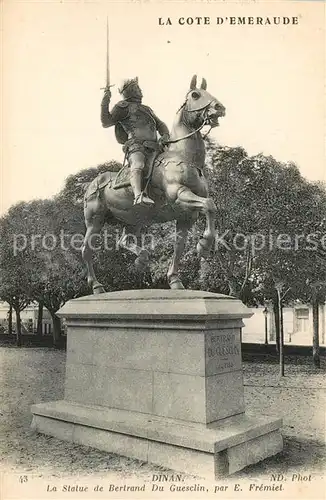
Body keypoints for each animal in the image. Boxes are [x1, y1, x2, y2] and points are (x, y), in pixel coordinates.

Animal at [82, 74, 224, 292]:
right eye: (195, 94)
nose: (220, 107)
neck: (185, 157)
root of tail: (90, 185)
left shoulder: (186, 215)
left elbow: (179, 246)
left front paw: (175, 280)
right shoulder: (180, 195)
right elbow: (209, 205)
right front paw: (204, 245)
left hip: (132, 220)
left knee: (123, 240)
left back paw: (141, 259)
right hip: (95, 221)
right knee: (86, 250)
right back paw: (97, 286)